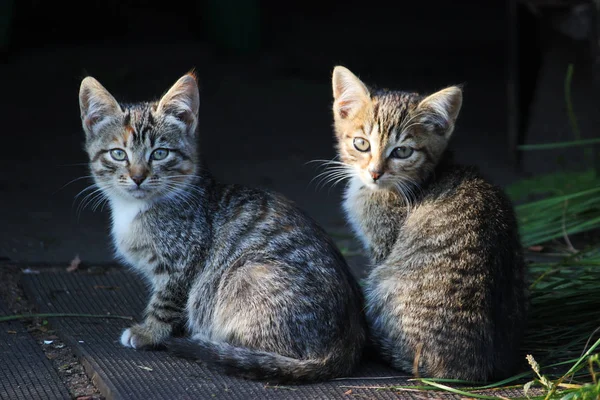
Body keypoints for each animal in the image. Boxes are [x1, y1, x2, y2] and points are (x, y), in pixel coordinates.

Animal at [78, 73, 366, 382]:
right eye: (119, 154)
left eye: (160, 154)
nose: (138, 177)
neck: (135, 208)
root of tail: (344, 346)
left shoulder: (184, 262)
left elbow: (166, 302)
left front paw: (150, 332)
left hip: (246, 274)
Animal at [330, 65, 528, 382]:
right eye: (361, 144)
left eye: (402, 151)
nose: (374, 173)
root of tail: (473, 368)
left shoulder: (382, 245)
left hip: (382, 283)